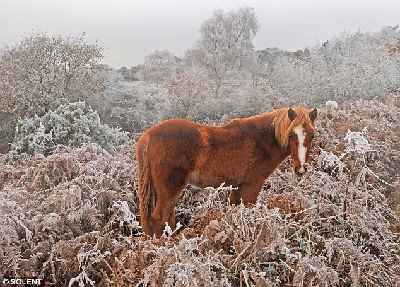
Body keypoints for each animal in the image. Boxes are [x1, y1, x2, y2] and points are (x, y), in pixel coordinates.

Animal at [138, 107, 318, 237]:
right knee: (160, 218)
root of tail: (148, 135)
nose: (301, 168)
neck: (262, 139)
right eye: (291, 135)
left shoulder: (237, 186)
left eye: (312, 136)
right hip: (171, 190)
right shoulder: (252, 185)